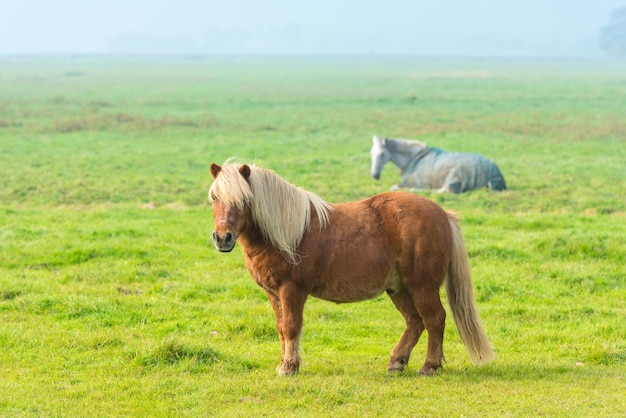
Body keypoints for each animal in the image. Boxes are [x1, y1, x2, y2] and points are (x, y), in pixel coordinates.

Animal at [210, 161, 492, 376]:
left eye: (244, 199)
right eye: (214, 197)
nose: (222, 238)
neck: (289, 232)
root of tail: (443, 214)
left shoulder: (292, 290)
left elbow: (291, 326)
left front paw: (290, 367)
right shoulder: (273, 292)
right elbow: (281, 328)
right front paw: (284, 364)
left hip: (422, 287)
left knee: (434, 319)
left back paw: (429, 366)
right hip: (399, 289)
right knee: (414, 322)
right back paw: (396, 362)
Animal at [370, 136, 508, 193]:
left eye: (382, 154)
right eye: (371, 153)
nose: (374, 175)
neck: (413, 158)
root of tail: (495, 172)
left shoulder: (413, 182)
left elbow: (394, 187)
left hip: (452, 176)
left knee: (443, 190)